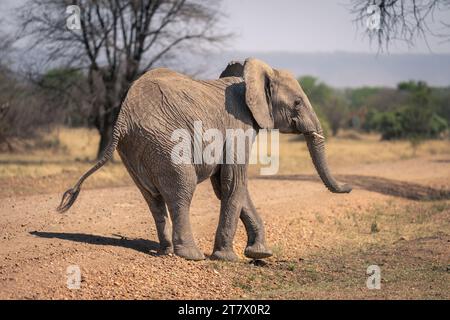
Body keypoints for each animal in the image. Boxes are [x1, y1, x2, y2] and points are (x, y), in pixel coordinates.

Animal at [57, 58, 352, 262]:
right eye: (298, 103)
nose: (349, 187)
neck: (250, 78)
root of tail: (122, 119)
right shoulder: (238, 125)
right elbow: (233, 182)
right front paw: (228, 259)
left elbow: (226, 185)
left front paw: (260, 255)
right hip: (164, 141)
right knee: (182, 188)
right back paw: (191, 255)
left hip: (135, 150)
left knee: (153, 198)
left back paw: (165, 251)